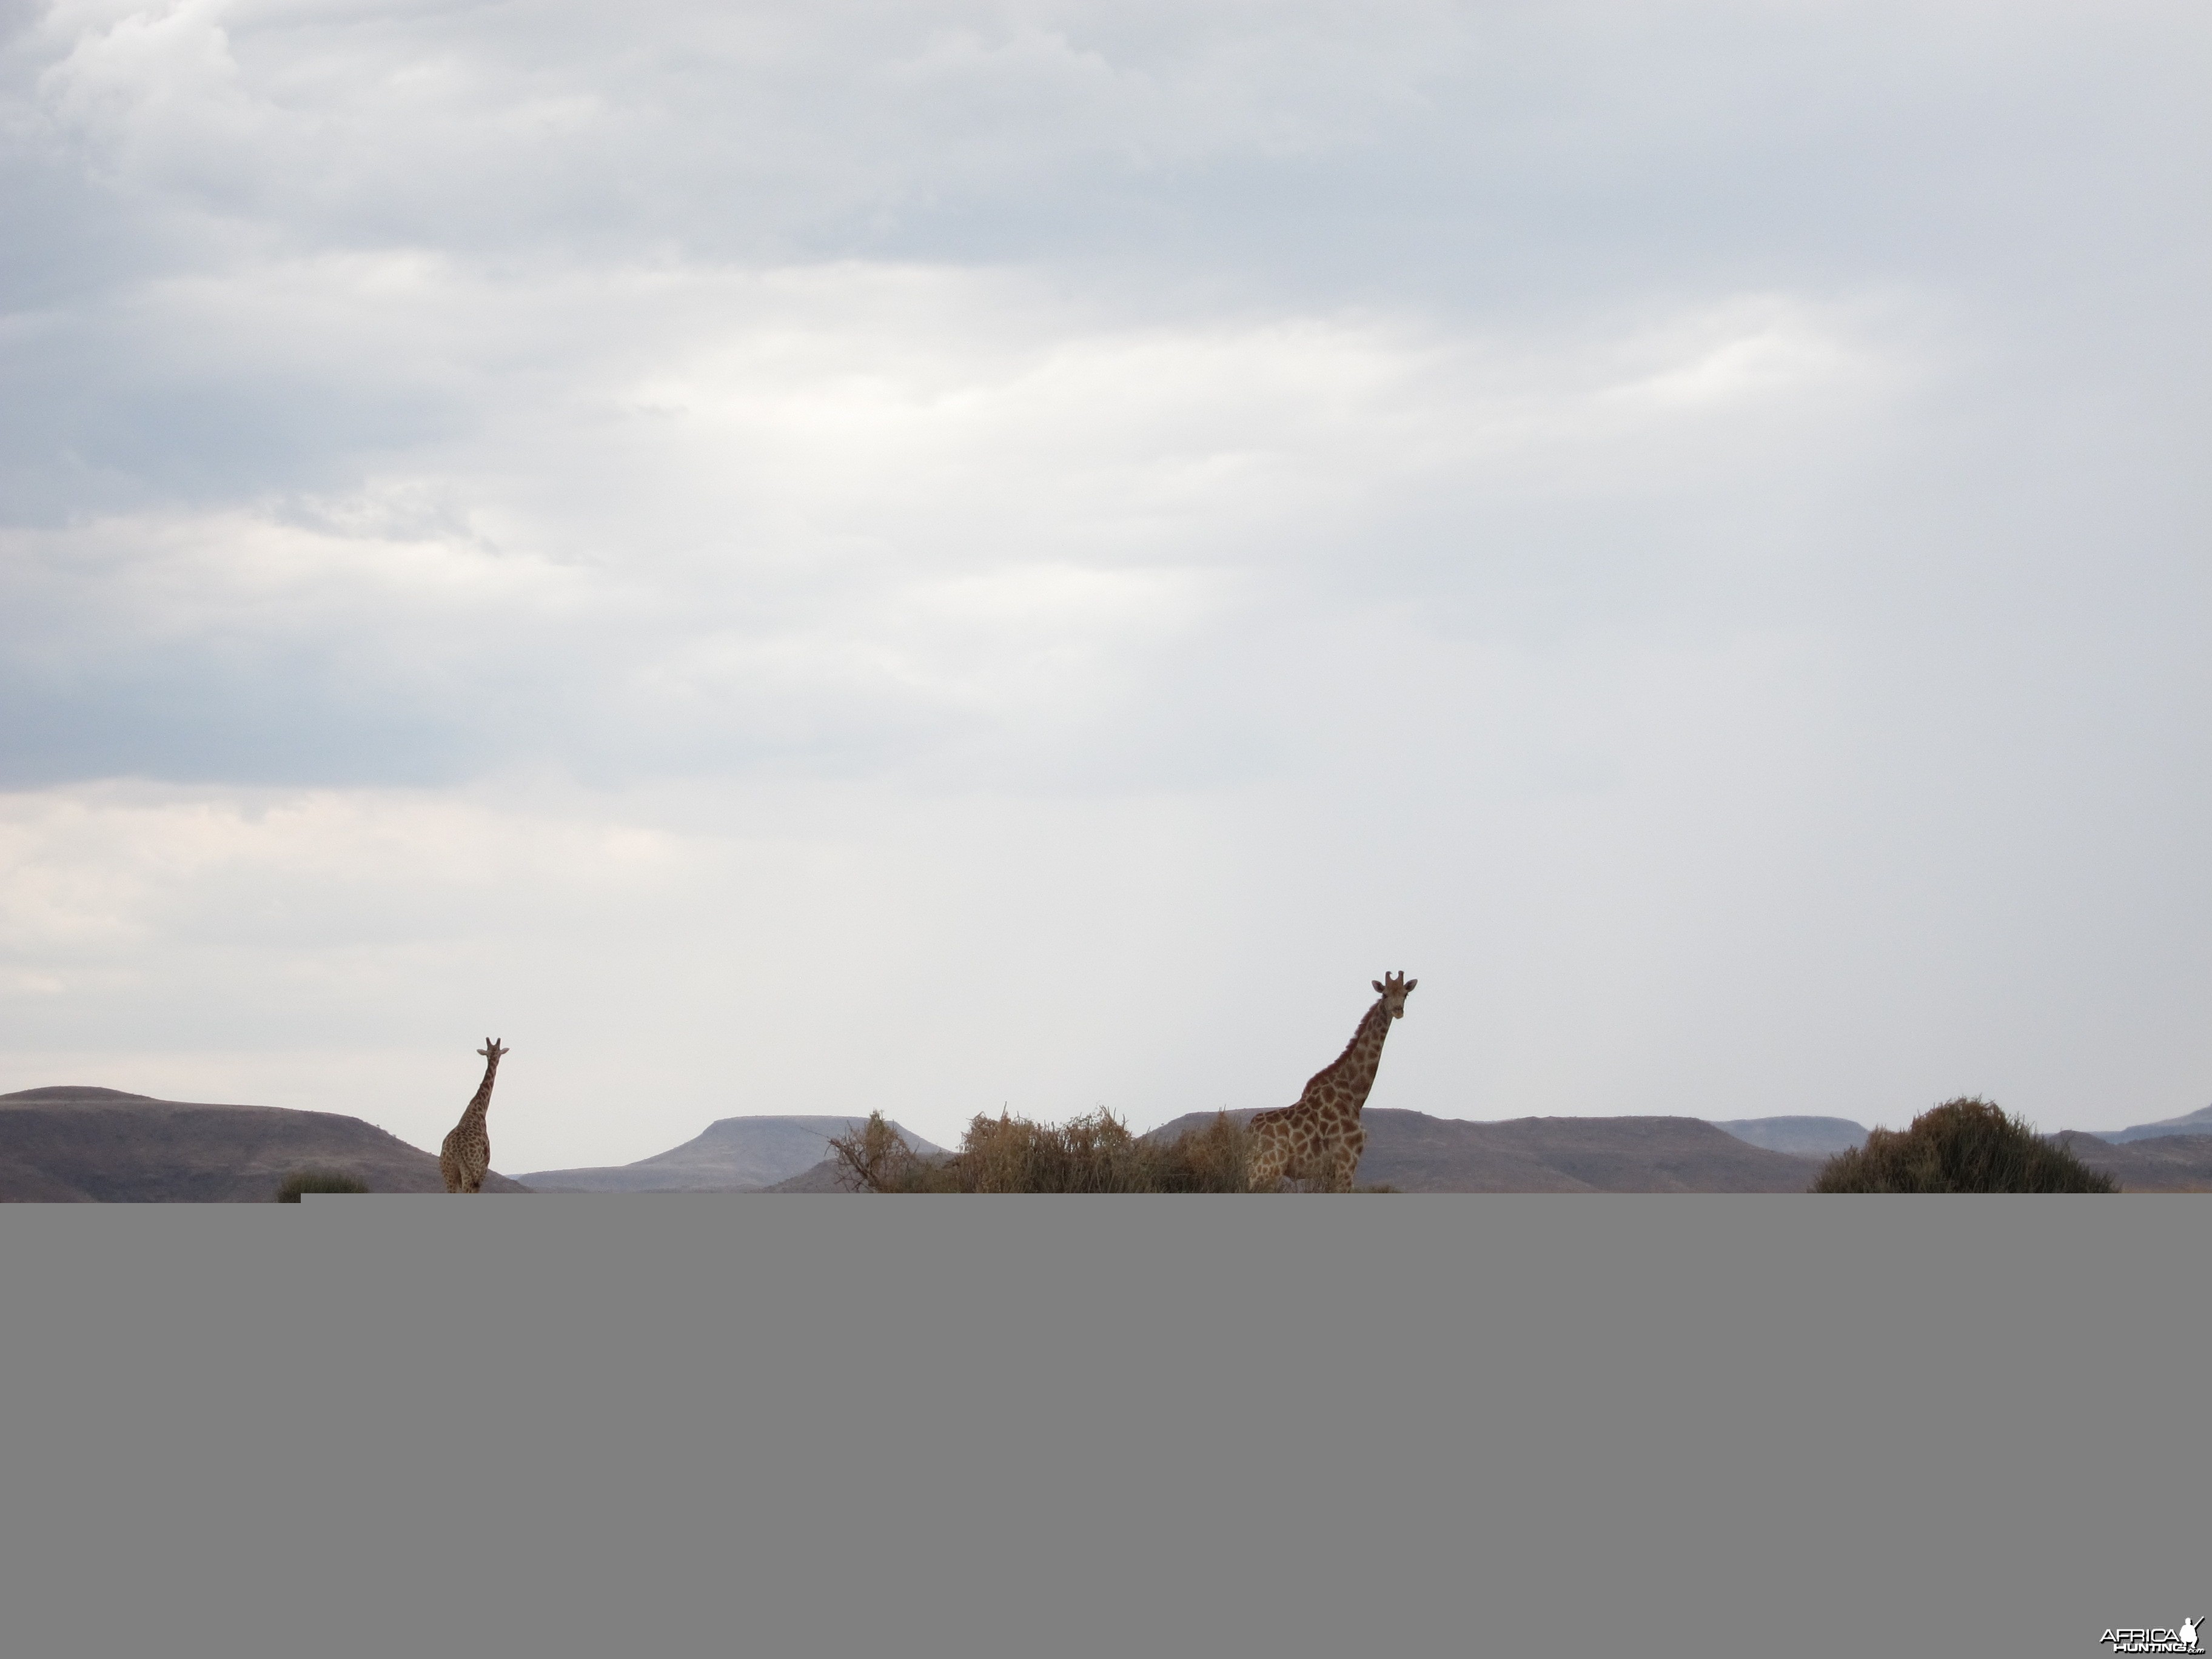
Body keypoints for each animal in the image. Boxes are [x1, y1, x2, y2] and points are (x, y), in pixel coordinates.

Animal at [434, 1039, 504, 1194]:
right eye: (498, 1053)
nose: (495, 1060)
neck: (479, 1111)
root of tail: (456, 1150)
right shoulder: (482, 1172)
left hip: (448, 1173)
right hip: (469, 1172)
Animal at [1247, 973, 1415, 1194]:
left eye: (1405, 994)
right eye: (1385, 994)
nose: (1398, 1011)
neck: (1354, 1094)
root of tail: (1249, 1132)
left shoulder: (1333, 1171)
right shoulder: (1346, 1163)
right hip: (1267, 1169)